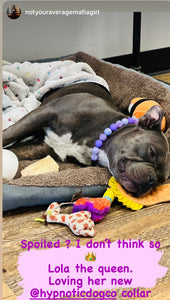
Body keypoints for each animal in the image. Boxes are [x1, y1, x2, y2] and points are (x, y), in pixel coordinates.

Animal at [2, 83, 170, 198]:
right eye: (151, 151)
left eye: (159, 182)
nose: (151, 180)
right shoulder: (46, 113)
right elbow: (8, 134)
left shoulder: (39, 148)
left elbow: (14, 151)